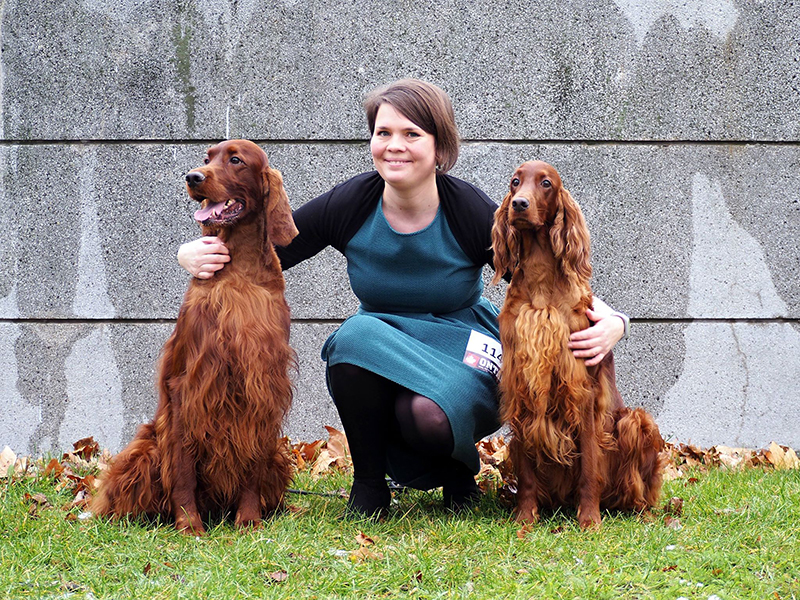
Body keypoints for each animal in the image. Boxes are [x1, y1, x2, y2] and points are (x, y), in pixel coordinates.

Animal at [490, 161, 664, 528]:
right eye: (515, 182)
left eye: (545, 183)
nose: (519, 205)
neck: (541, 282)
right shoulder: (521, 386)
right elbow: (526, 475)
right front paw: (525, 519)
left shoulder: (582, 390)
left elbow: (589, 468)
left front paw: (589, 520)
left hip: (635, 421)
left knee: (639, 489)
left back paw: (642, 512)